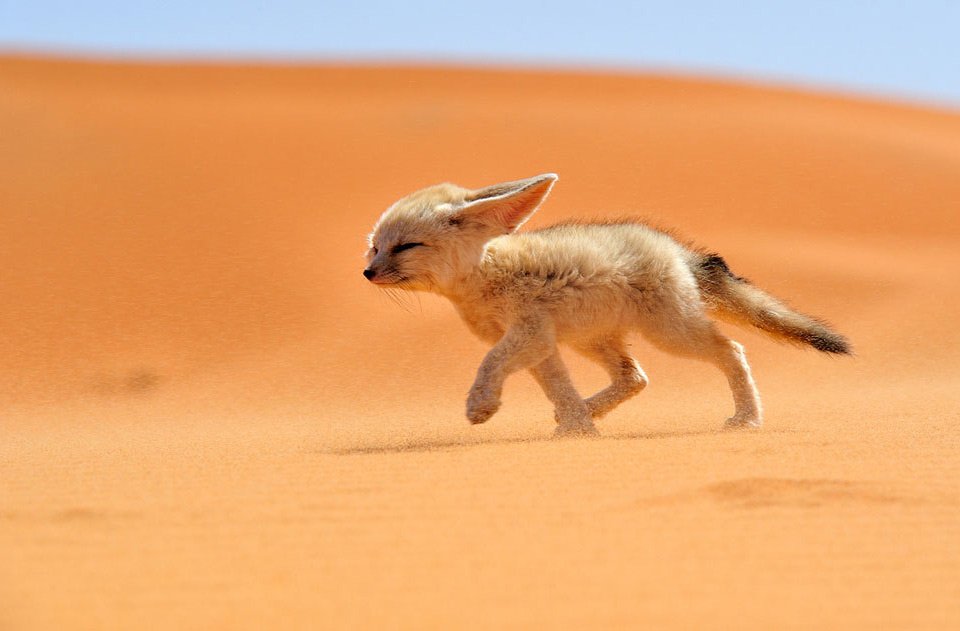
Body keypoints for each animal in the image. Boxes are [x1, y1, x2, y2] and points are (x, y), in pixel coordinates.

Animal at [363, 173, 850, 437]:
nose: (367, 273)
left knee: (732, 350)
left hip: (671, 334)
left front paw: (481, 406)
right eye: (375, 247)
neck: (485, 274)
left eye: (406, 246)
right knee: (635, 377)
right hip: (592, 341)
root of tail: (675, 248)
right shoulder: (541, 344)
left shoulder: (527, 334)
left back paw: (747, 418)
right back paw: (587, 411)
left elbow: (490, 363)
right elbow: (557, 387)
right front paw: (578, 428)